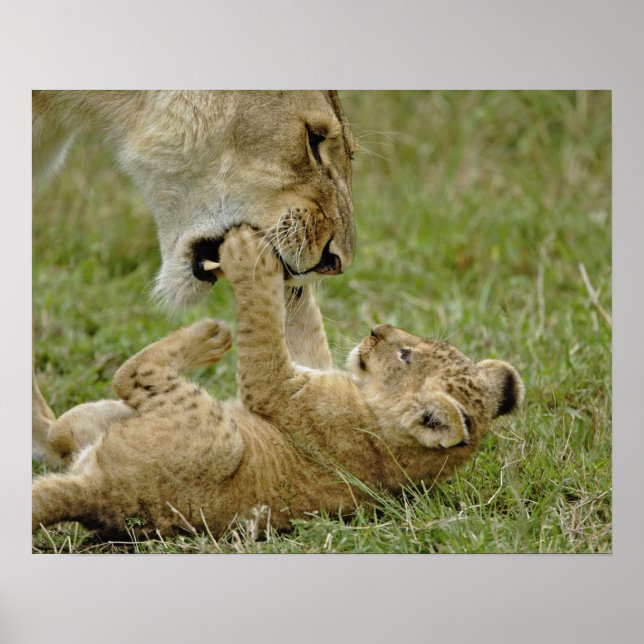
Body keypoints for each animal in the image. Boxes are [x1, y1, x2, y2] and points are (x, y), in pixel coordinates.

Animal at [32, 226, 524, 539]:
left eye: (405, 355)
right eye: (416, 344)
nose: (377, 330)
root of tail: (103, 496)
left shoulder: (279, 389)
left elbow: (264, 330)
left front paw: (248, 254)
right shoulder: (312, 367)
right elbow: (302, 326)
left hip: (218, 438)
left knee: (131, 374)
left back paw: (209, 335)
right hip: (96, 423)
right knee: (58, 437)